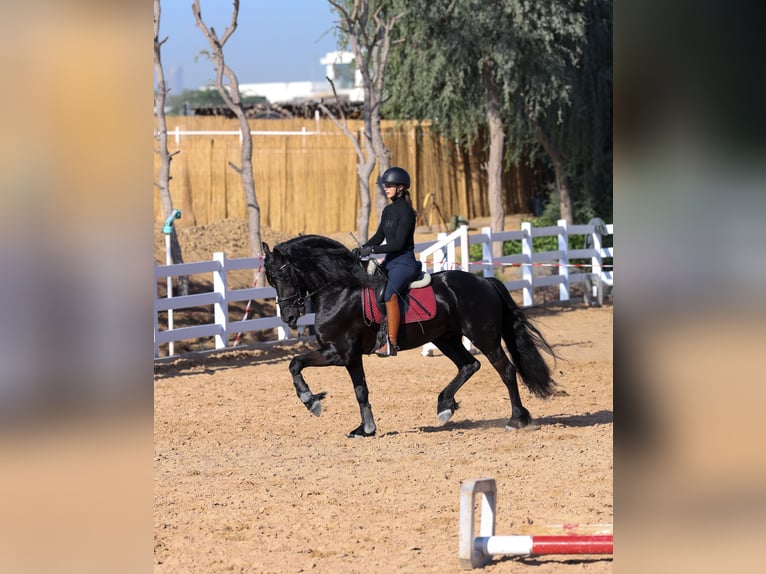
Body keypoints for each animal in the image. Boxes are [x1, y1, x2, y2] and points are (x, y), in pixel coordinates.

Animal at [262, 234, 557, 438]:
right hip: (446, 338)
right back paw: (444, 406)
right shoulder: (352, 357)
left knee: (505, 370)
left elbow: (295, 363)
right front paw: (365, 429)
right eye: (270, 279)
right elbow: (360, 390)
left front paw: (311, 401)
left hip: (483, 337)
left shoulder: (339, 353)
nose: (288, 317)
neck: (340, 289)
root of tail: (484, 281)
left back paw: (516, 419)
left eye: (284, 274)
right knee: (469, 365)